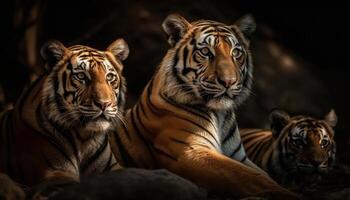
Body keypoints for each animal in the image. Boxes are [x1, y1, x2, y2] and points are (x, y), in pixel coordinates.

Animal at [109, 13, 298, 199]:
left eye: (236, 52)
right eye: (206, 52)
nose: (228, 82)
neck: (220, 116)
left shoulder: (239, 156)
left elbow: (264, 175)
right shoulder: (190, 151)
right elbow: (251, 177)